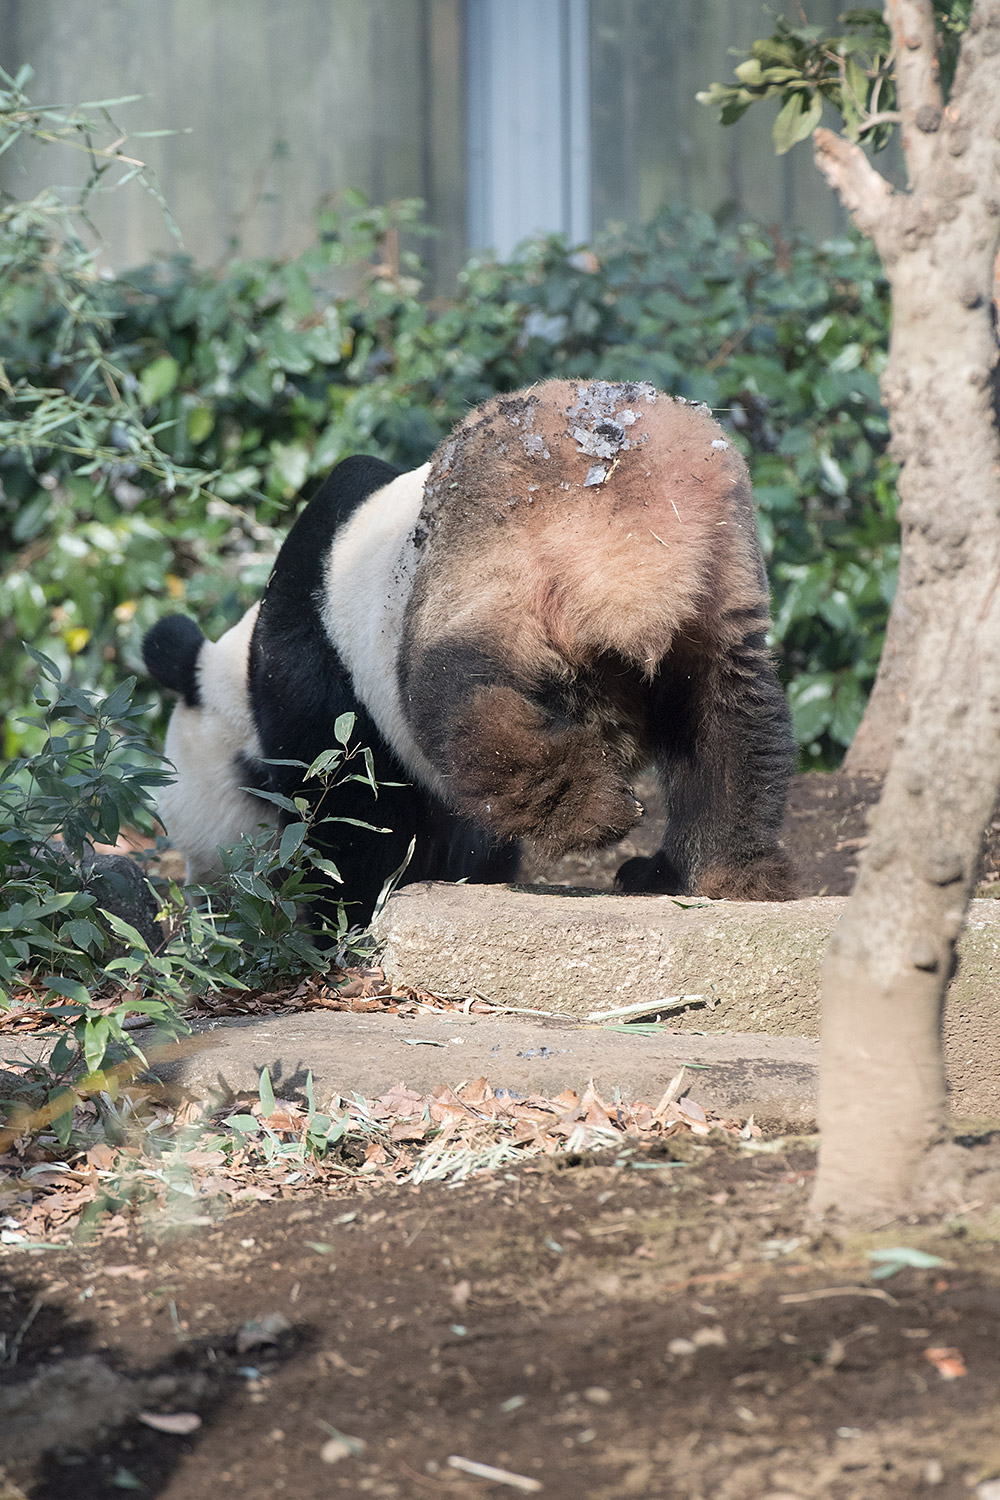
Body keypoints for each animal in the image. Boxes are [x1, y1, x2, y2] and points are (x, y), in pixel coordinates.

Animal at [238, 375, 791, 918]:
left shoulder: (318, 673)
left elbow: (346, 815)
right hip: (720, 577)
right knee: (730, 721)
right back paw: (721, 872)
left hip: (490, 558)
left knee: (468, 700)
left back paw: (590, 808)